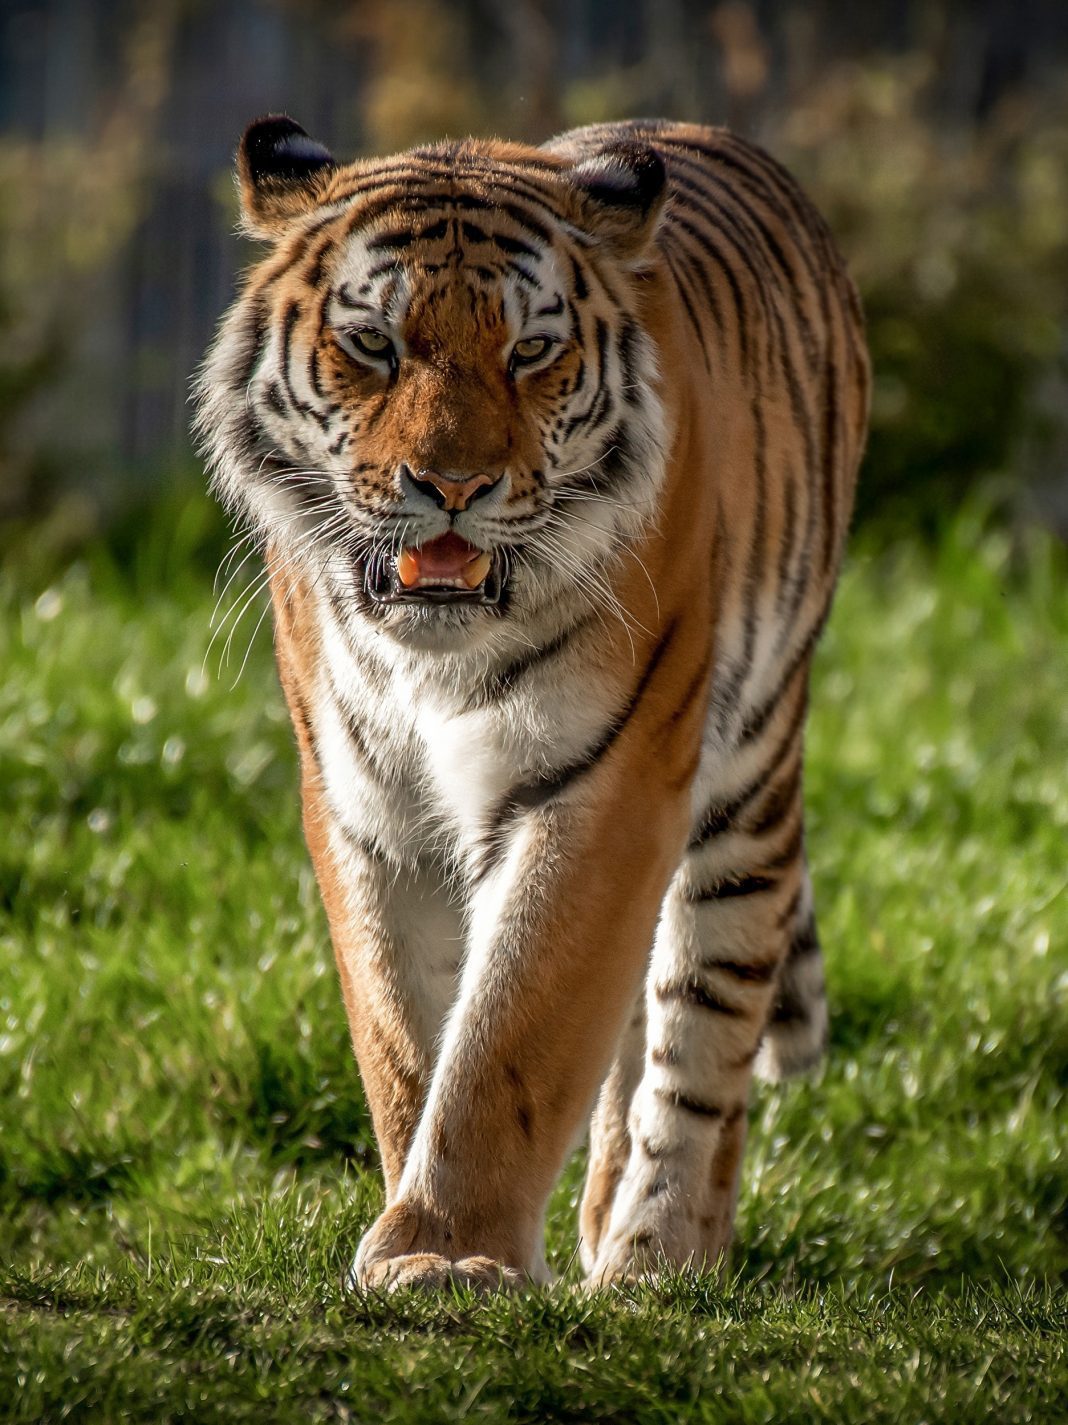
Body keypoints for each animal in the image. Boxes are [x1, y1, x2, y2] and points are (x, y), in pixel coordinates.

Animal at [195, 113, 869, 1291]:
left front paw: (449, 1251)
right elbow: (406, 1034)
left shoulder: (608, 781)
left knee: (705, 1021)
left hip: (745, 785)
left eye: (529, 353)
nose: (451, 486)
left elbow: (517, 1028)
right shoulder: (365, 806)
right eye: (374, 344)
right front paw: (420, 1236)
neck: (436, 659)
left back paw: (658, 1256)